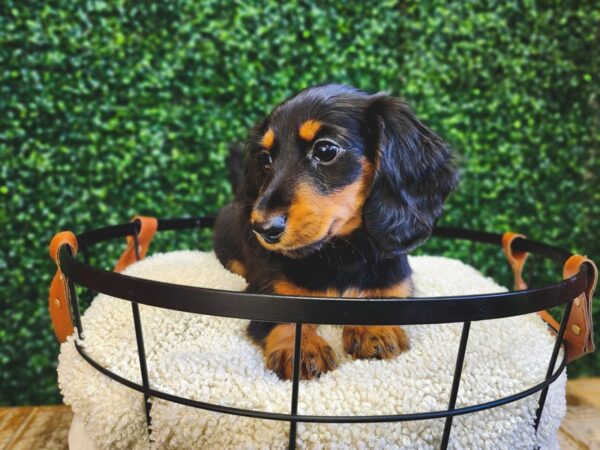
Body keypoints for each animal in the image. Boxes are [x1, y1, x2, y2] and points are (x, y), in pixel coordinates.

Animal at [213, 83, 458, 380]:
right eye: (265, 158)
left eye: (326, 150)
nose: (263, 228)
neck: (342, 254)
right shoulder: (266, 293)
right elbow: (284, 315)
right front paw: (302, 348)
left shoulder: (397, 285)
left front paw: (375, 329)